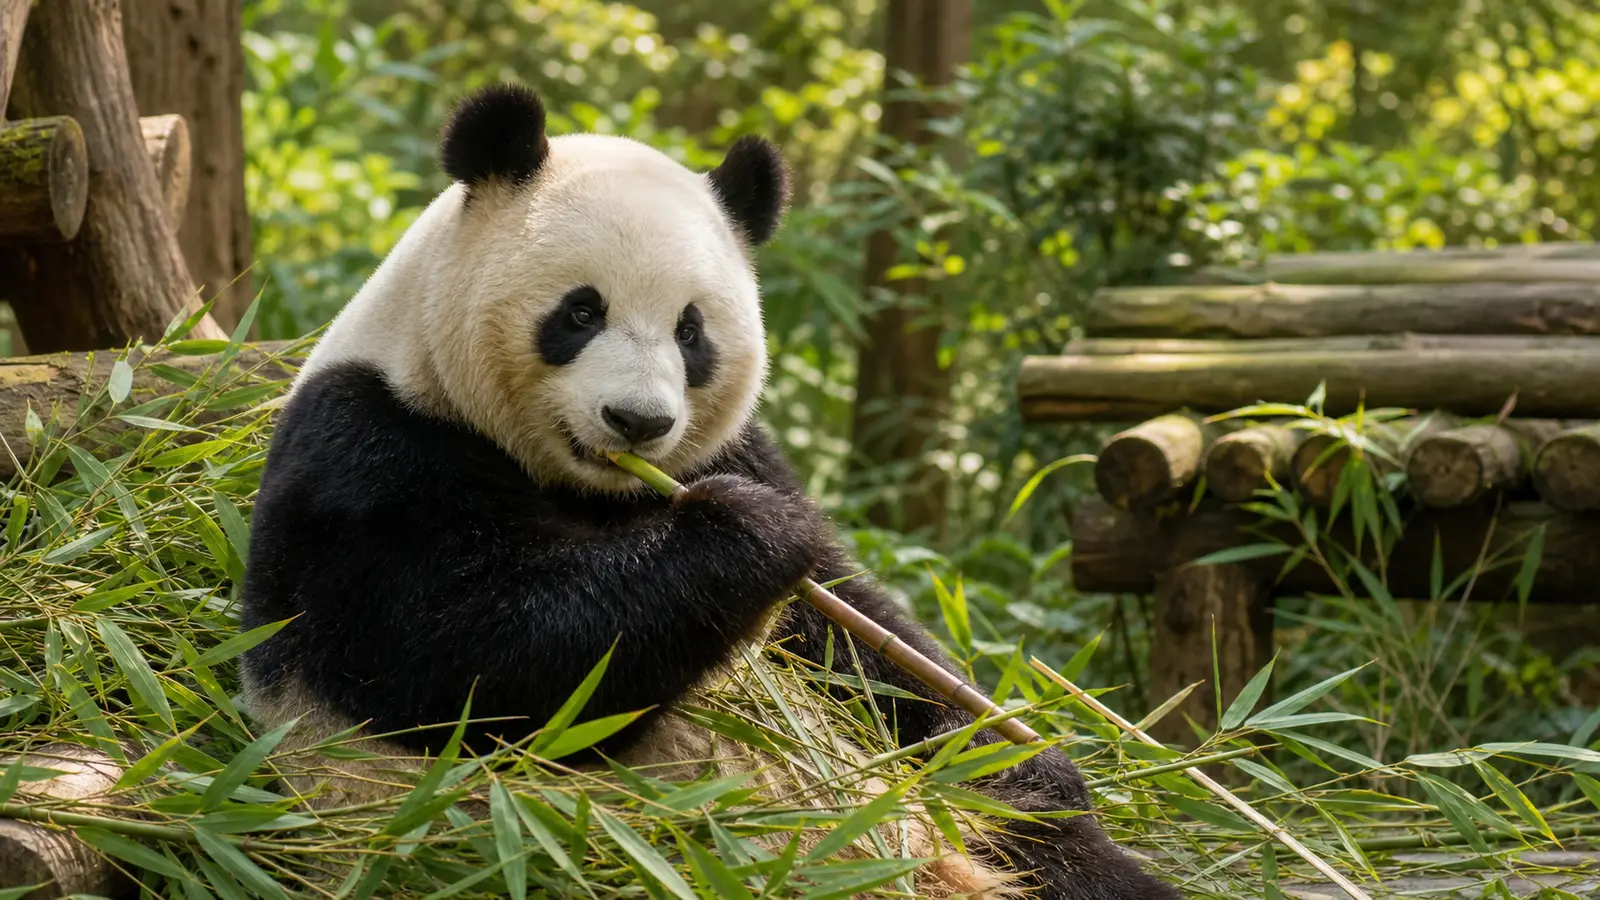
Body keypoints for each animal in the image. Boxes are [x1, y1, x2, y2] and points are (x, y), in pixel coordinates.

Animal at [237, 81, 1185, 900]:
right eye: (581, 312)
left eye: (691, 331)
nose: (638, 421)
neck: (594, 488)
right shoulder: (368, 450)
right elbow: (465, 665)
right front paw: (754, 531)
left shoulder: (732, 448)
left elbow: (863, 640)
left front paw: (1023, 762)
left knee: (1067, 864)